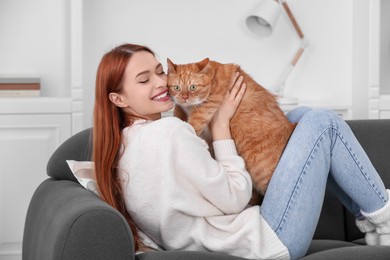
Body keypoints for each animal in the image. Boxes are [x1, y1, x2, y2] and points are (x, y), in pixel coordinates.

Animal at [166, 58, 298, 202]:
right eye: (177, 87)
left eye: (193, 87)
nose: (184, 97)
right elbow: (178, 111)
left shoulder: (205, 109)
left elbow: (191, 125)